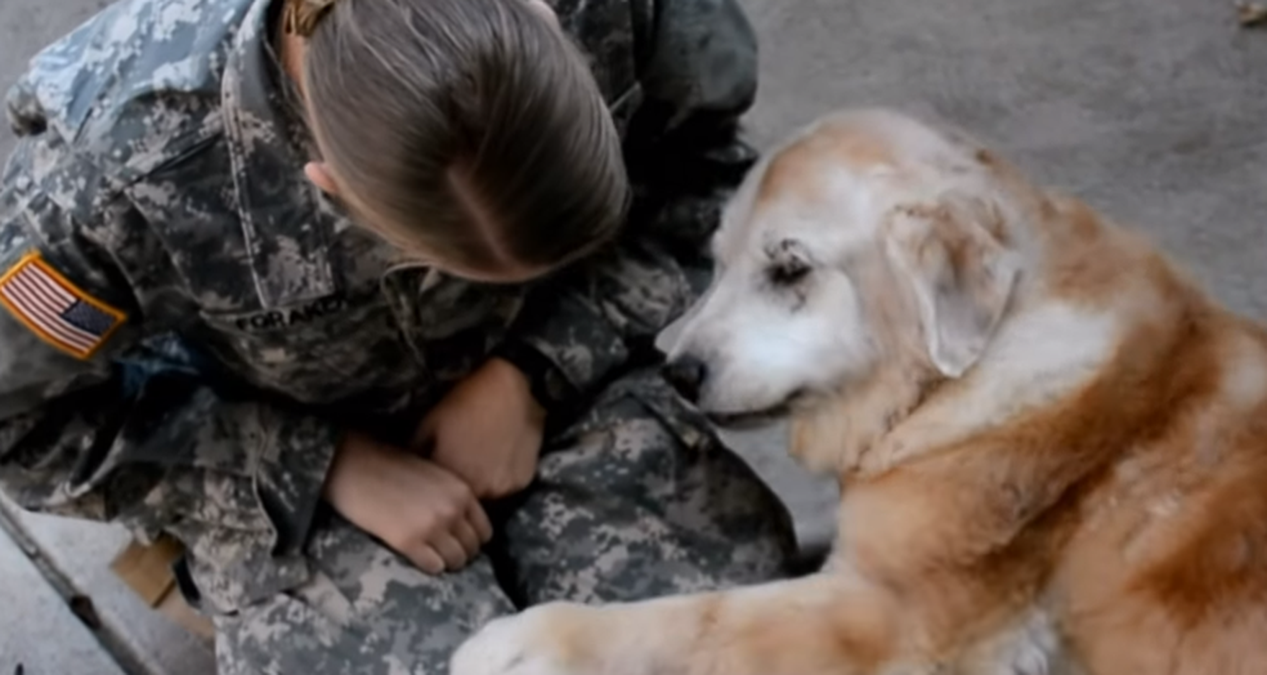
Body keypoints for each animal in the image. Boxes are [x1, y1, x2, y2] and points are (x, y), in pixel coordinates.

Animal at [448, 108, 1267, 673]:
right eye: (718, 261)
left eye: (788, 269)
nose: (678, 372)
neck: (954, 379)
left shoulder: (885, 612)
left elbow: (695, 615)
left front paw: (523, 640)